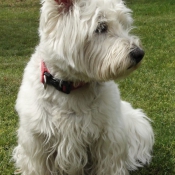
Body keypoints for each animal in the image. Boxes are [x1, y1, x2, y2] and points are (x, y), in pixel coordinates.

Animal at [13, 0, 154, 174]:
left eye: (122, 23)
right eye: (101, 27)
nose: (139, 53)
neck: (70, 87)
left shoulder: (108, 138)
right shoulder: (37, 140)